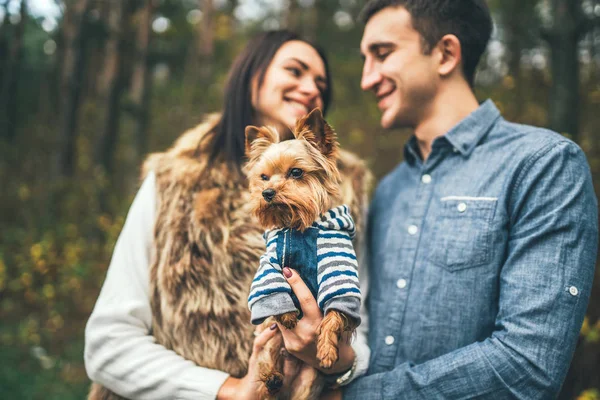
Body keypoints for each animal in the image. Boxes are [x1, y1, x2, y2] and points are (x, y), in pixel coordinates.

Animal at [243, 108, 360, 398]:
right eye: (263, 177)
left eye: (296, 172)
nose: (267, 192)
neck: (298, 226)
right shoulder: (269, 264)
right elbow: (273, 289)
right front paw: (285, 315)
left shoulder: (339, 269)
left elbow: (334, 313)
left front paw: (327, 350)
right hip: (269, 344)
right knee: (267, 369)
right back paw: (272, 378)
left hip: (307, 382)